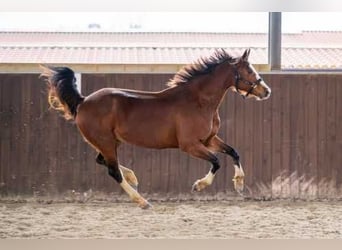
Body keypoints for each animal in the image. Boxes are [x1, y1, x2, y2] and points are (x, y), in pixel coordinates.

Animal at [39, 47, 270, 208]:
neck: (198, 101)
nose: (266, 91)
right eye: (248, 70)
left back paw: (132, 177)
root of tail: (83, 101)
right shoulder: (190, 145)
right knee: (112, 170)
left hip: (110, 142)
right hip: (105, 141)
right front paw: (199, 185)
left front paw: (239, 184)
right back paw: (142, 201)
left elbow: (234, 152)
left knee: (103, 161)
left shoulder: (209, 139)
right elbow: (216, 161)